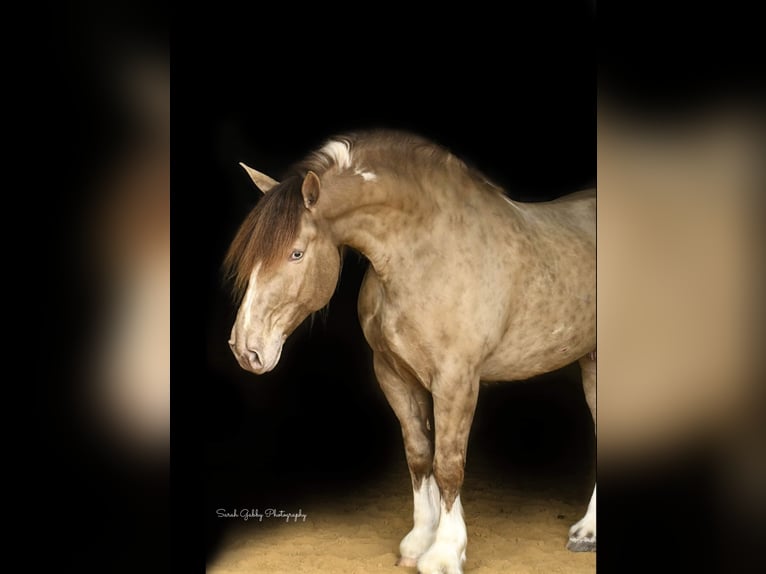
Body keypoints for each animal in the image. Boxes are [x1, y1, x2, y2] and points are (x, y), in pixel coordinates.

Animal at [225, 132, 596, 574]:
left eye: (296, 253)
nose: (245, 349)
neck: (427, 255)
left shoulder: (456, 382)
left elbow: (448, 464)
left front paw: (445, 552)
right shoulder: (394, 375)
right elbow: (419, 456)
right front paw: (419, 541)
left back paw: (586, 532)